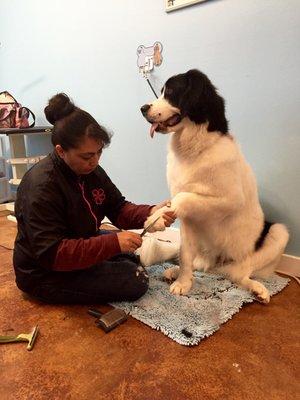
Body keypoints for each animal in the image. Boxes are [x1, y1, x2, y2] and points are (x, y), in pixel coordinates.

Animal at [141, 69, 288, 304]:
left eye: (170, 92)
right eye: (161, 91)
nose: (143, 109)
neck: (195, 148)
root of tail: (217, 264)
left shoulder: (230, 200)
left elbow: (183, 197)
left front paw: (155, 218)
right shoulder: (189, 219)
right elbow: (185, 254)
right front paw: (183, 282)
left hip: (277, 233)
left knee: (239, 274)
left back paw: (257, 288)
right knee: (199, 264)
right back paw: (176, 271)